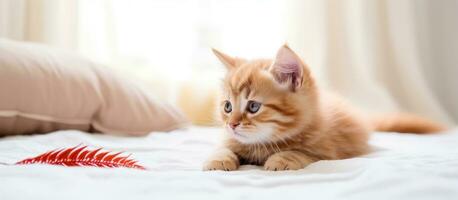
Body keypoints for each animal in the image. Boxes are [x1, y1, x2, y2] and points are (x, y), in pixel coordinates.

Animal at [203, 44, 444, 171]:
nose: (232, 124)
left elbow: (299, 153)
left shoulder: (327, 151)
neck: (261, 145)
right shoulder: (229, 139)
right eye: (227, 107)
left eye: (253, 106)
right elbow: (223, 147)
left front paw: (280, 159)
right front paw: (218, 159)